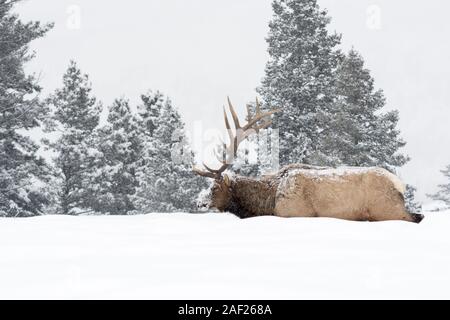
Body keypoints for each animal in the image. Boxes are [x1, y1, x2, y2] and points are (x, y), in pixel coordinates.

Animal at [194, 96, 426, 224]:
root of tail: (399, 184)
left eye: (214, 187)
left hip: (386, 208)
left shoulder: (293, 212)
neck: (267, 201)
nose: (199, 202)